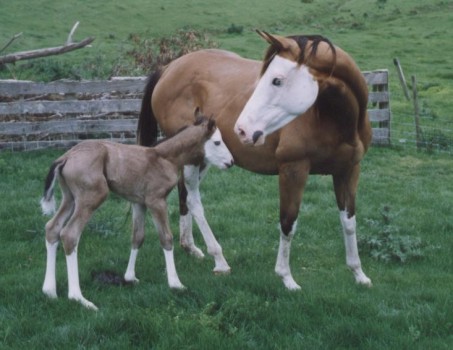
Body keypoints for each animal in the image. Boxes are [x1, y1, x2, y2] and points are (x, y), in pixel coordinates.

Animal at [38, 114, 233, 308]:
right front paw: (175, 283)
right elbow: (166, 238)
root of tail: (66, 157)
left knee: (52, 228)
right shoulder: (156, 201)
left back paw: (50, 291)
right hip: (91, 197)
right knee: (70, 234)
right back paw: (78, 298)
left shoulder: (139, 203)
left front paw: (130, 277)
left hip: (70, 198)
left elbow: (137, 237)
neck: (164, 158)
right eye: (217, 142)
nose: (230, 162)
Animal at [137, 30, 370, 290]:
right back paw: (219, 258)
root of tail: (168, 68)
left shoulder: (349, 170)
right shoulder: (293, 170)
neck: (333, 119)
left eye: (276, 80)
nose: (242, 130)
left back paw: (191, 247)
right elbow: (288, 222)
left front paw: (358, 273)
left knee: (184, 193)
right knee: (194, 200)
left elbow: (349, 222)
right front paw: (286, 277)